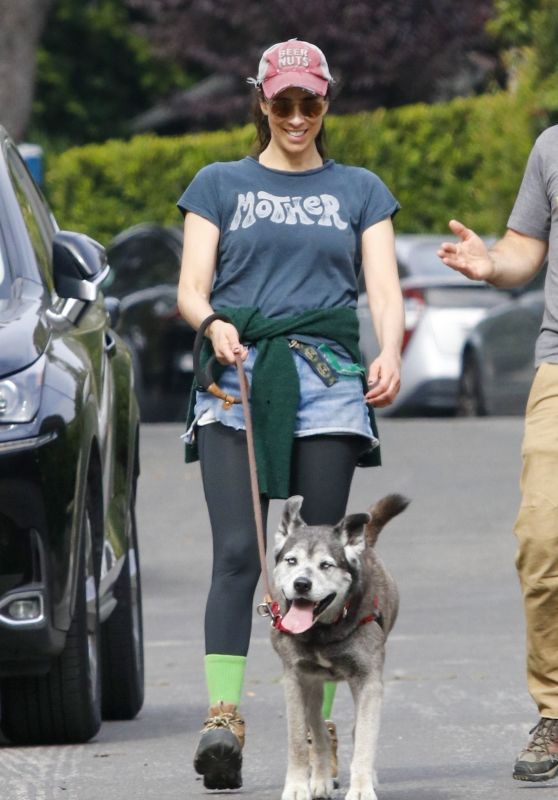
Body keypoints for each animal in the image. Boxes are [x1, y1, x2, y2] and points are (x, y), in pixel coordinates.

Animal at [272, 494, 412, 800]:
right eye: (291, 560)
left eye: (326, 565)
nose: (302, 584)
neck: (322, 631)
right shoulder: (295, 678)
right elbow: (298, 739)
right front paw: (297, 786)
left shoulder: (368, 679)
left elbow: (364, 739)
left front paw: (361, 789)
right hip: (313, 685)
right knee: (318, 729)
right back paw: (321, 778)